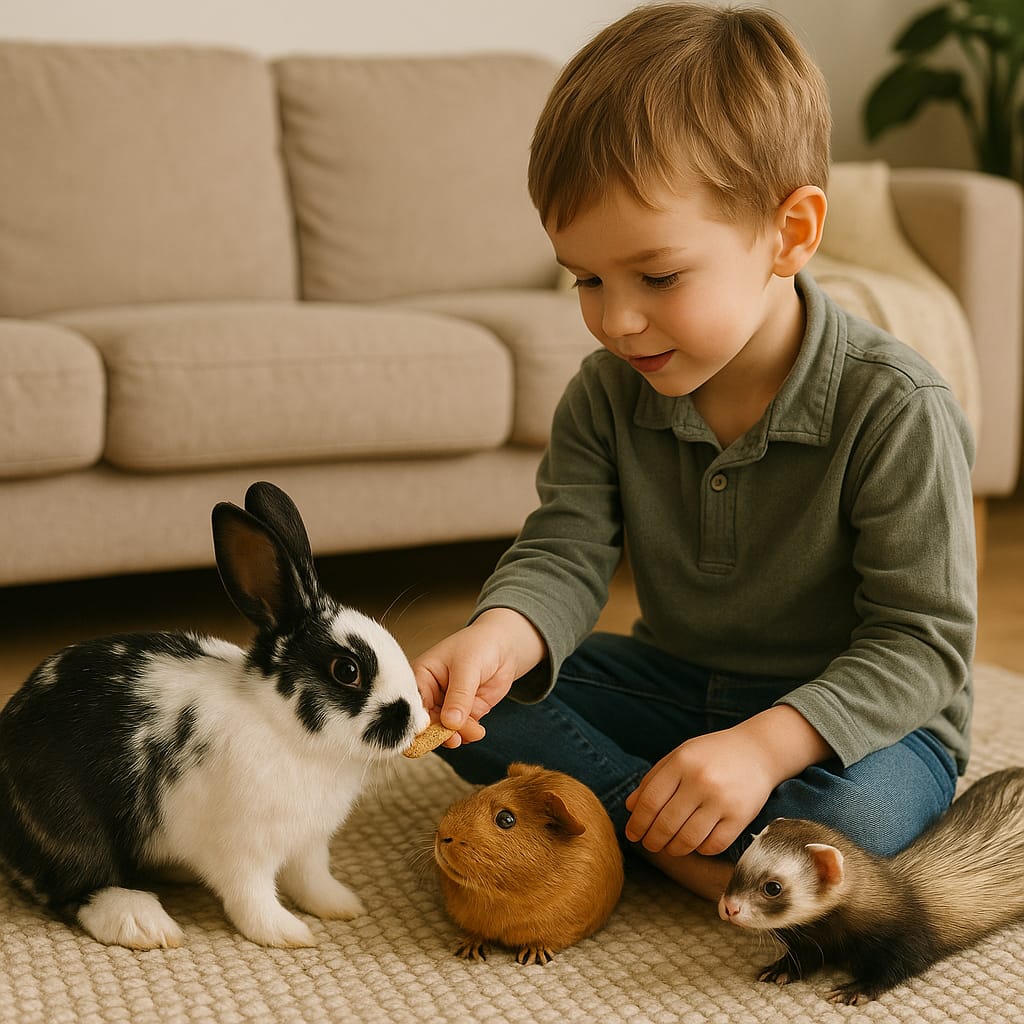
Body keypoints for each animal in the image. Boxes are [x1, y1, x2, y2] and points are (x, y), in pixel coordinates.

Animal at [0, 481, 429, 950]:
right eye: (347, 670)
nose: (419, 722)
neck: (282, 726)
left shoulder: (307, 843)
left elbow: (311, 878)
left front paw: (341, 906)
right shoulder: (243, 850)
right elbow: (251, 896)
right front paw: (288, 933)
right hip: (70, 824)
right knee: (75, 886)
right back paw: (143, 922)